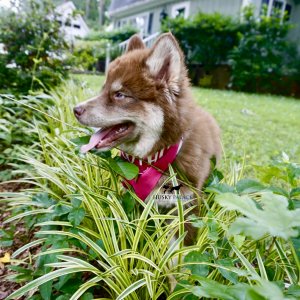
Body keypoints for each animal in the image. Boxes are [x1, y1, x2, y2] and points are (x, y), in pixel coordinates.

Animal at [74, 32, 221, 245]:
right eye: (103, 89)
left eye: (119, 94)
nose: (75, 110)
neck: (152, 160)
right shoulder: (133, 202)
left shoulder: (185, 208)